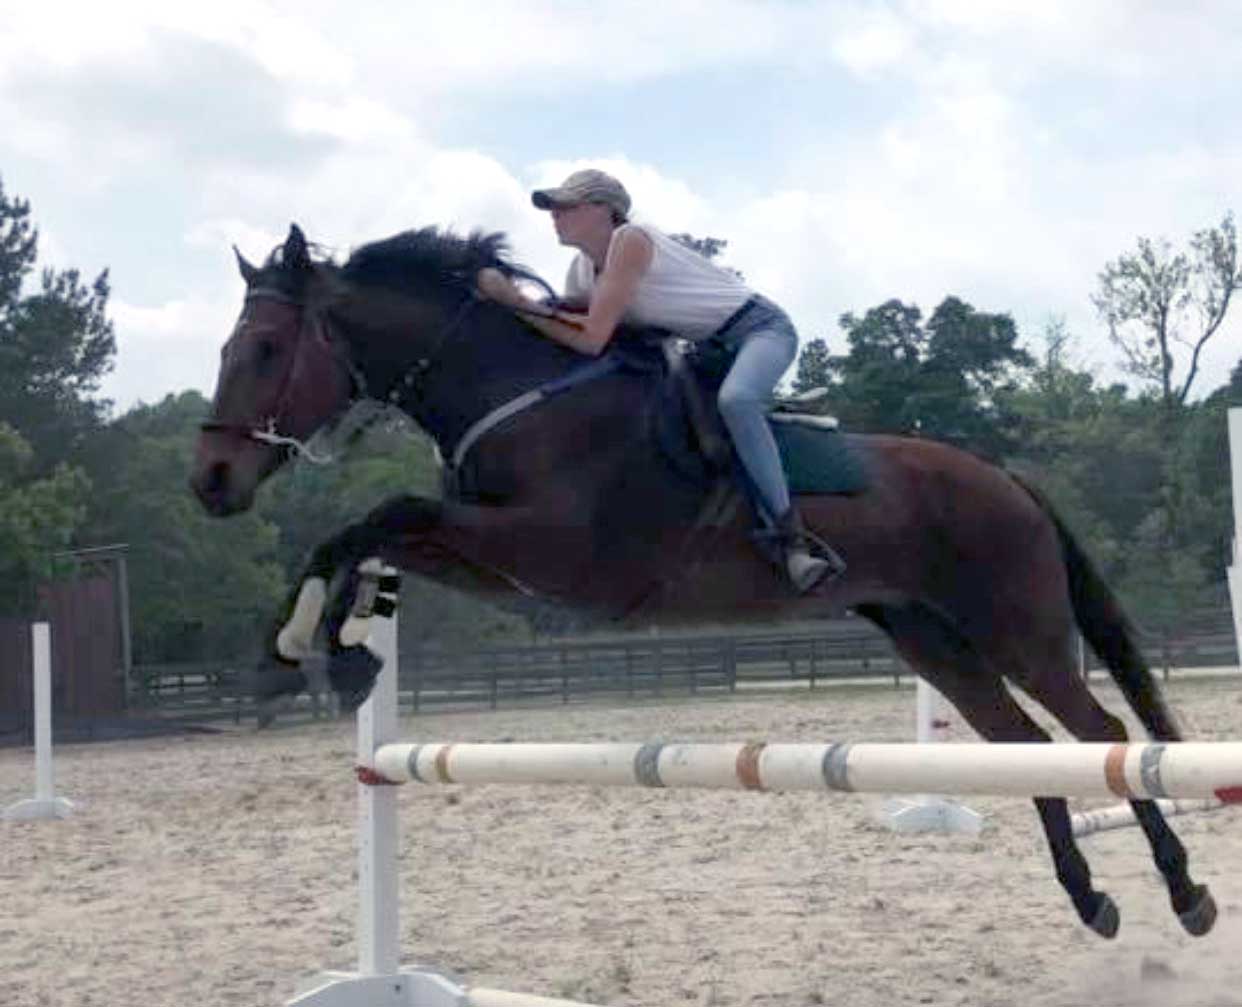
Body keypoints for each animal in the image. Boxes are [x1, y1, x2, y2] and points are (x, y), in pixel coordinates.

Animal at [188, 224, 1217, 943]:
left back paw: (1187, 891)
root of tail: (1006, 476)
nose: (211, 482)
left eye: (267, 349)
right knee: (1023, 746)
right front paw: (313, 650)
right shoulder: (495, 556)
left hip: (1017, 628)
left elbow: (379, 514)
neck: (514, 391)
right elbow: (362, 535)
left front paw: (312, 649)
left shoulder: (556, 548)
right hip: (931, 635)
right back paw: (1091, 899)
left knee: (1102, 733)